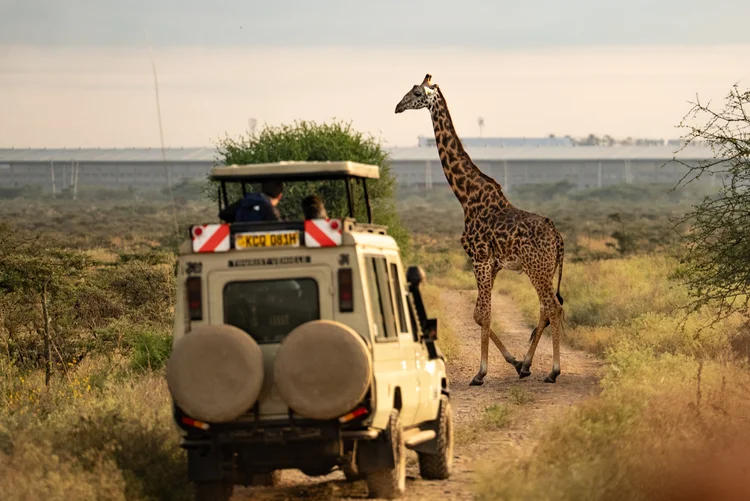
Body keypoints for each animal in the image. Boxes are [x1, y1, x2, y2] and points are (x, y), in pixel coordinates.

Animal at [395, 74, 566, 385]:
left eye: (416, 93)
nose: (397, 107)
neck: (466, 196)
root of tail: (559, 240)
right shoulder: (492, 264)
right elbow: (478, 314)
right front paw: (514, 363)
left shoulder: (480, 258)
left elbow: (483, 314)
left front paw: (480, 373)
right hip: (544, 269)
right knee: (545, 309)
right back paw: (527, 364)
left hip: (536, 268)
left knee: (553, 307)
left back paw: (553, 371)